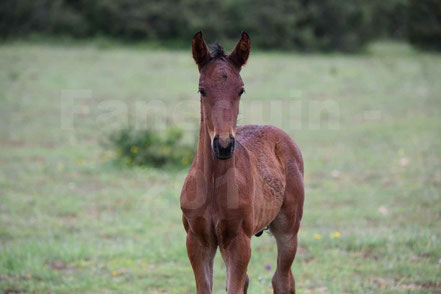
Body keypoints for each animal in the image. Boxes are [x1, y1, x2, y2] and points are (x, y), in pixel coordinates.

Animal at [179, 32, 302, 294]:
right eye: (201, 90)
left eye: (241, 90)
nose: (224, 145)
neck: (213, 187)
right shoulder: (196, 240)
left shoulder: (238, 242)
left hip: (288, 229)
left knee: (282, 279)